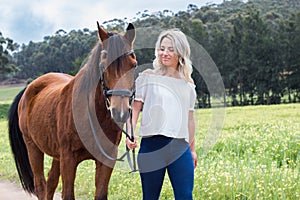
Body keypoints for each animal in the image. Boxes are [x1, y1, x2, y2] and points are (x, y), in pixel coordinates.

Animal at [7, 22, 137, 200]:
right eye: (103, 65)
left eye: (134, 65)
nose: (120, 112)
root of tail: (28, 88)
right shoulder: (68, 159)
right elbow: (68, 194)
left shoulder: (106, 159)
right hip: (33, 147)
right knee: (41, 185)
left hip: (56, 154)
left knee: (51, 182)